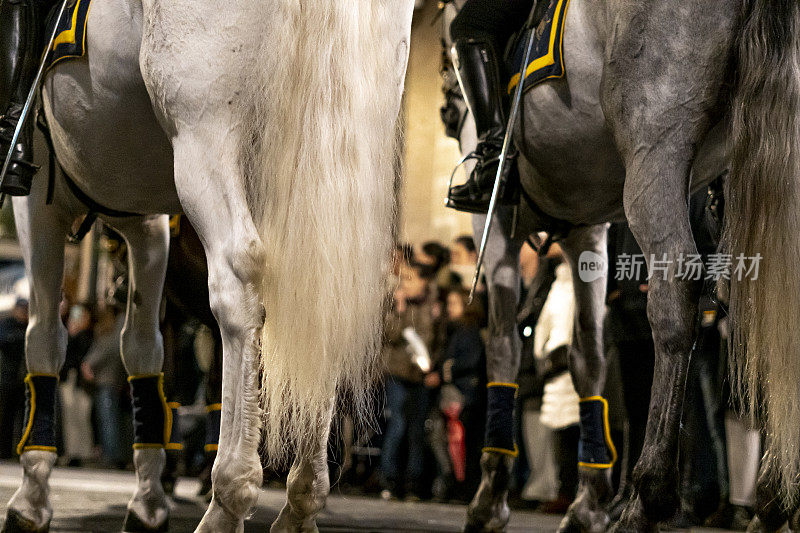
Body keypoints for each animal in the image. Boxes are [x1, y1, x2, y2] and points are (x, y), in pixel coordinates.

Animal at [6, 2, 416, 528]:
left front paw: (31, 497)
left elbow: (43, 339)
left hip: (205, 145)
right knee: (323, 303)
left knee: (238, 287)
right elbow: (142, 350)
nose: (111, 289)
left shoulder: (38, 201)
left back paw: (229, 496)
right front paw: (148, 500)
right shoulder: (146, 220)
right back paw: (300, 503)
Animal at [444, 1, 800, 532]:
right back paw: (774, 498)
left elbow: (503, 348)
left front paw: (489, 498)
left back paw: (647, 498)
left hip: (656, 151)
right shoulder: (587, 230)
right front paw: (587, 502)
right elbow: (588, 357)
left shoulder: (497, 226)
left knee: (676, 294)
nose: (449, 110)